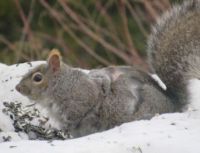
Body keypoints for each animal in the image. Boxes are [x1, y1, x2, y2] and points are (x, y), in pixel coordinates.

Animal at [14, 0, 199, 137]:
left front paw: (65, 127)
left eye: (37, 78)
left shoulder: (80, 98)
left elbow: (78, 114)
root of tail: (173, 104)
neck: (61, 84)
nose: (18, 88)